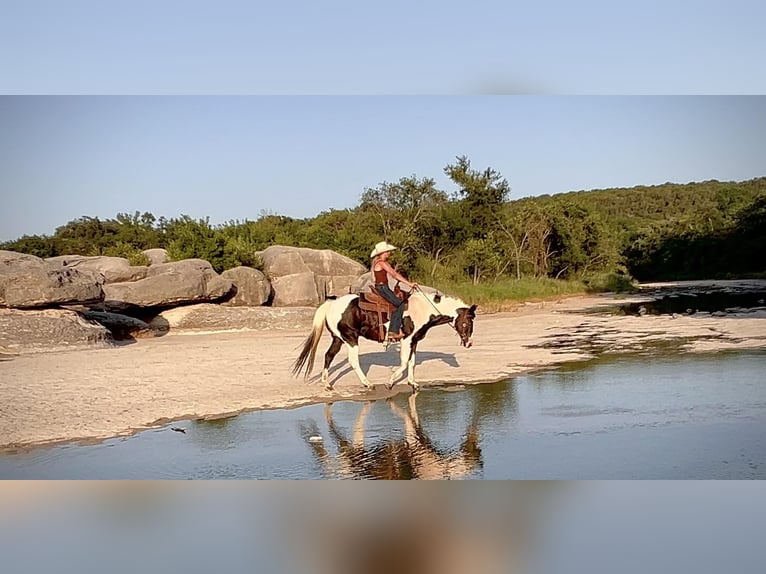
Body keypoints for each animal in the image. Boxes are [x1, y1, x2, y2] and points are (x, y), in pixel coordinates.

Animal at [292, 290, 476, 394]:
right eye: (467, 323)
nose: (469, 343)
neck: (423, 309)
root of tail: (332, 303)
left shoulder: (415, 340)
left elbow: (412, 362)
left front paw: (413, 383)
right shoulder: (407, 339)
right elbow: (404, 363)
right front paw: (390, 383)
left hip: (338, 338)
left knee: (328, 356)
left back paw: (327, 384)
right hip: (351, 338)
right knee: (353, 361)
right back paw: (368, 385)